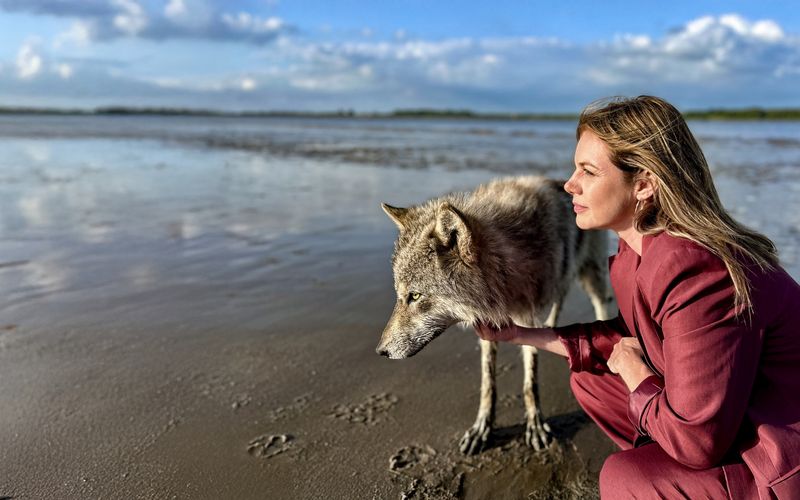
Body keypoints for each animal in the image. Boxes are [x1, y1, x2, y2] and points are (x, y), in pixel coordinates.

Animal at [375, 175, 611, 454]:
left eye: (415, 296)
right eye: (400, 295)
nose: (380, 351)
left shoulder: (526, 319)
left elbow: (530, 382)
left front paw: (535, 425)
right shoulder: (490, 327)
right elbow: (488, 384)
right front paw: (482, 428)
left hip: (592, 274)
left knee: (600, 303)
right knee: (559, 298)